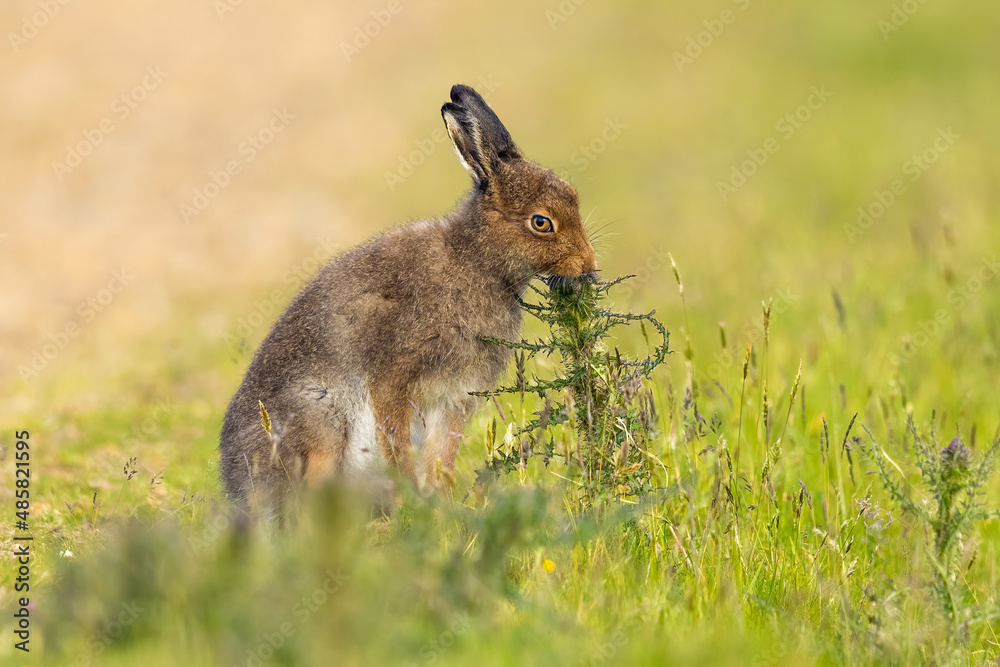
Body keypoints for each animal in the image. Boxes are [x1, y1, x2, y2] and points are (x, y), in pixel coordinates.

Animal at [219, 84, 597, 514]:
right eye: (541, 222)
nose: (588, 266)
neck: (478, 259)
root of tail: (240, 487)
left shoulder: (454, 399)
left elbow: (441, 459)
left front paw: (440, 509)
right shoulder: (392, 382)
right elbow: (397, 449)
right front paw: (412, 507)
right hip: (321, 421)